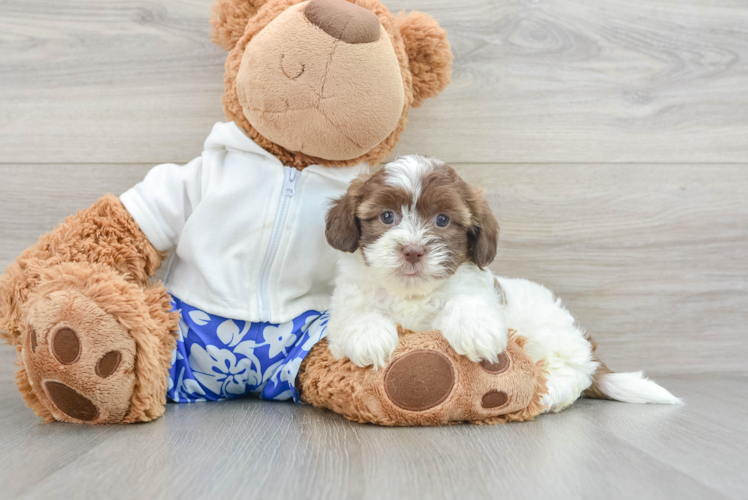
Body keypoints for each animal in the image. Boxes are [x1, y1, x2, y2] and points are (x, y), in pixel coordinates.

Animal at [324, 154, 680, 412]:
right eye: (387, 216)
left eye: (442, 220)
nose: (413, 250)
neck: (411, 294)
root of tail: (587, 347)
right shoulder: (344, 309)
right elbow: (357, 316)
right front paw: (370, 337)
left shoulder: (478, 292)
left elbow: (466, 302)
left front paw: (475, 331)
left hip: (553, 337)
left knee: (572, 374)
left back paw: (545, 393)